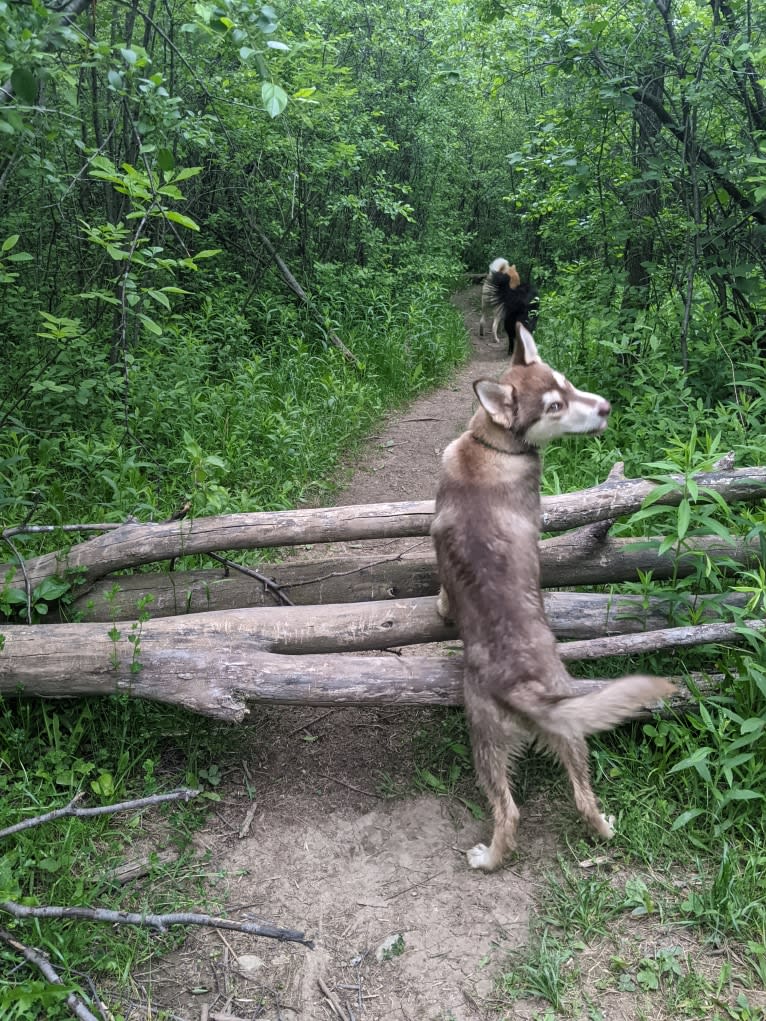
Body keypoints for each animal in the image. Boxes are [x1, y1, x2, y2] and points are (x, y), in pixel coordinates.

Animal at [435, 324, 674, 869]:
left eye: (568, 383)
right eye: (554, 407)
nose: (606, 407)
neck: (491, 445)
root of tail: (523, 685)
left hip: (512, 739)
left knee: (537, 808)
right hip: (533, 737)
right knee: (543, 809)